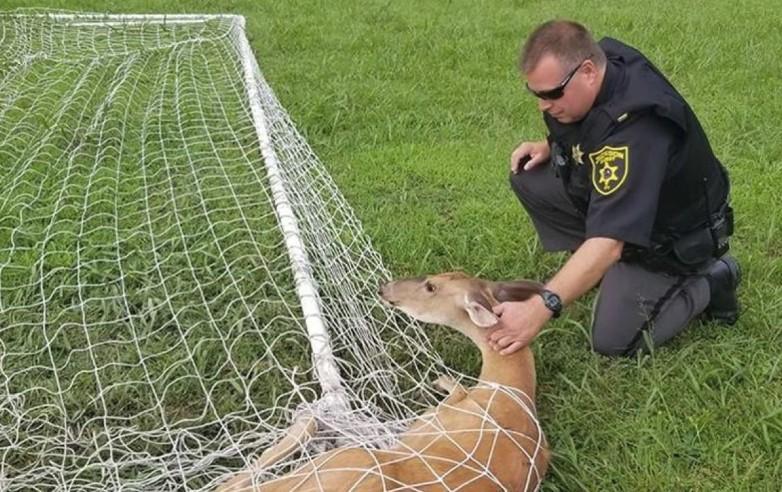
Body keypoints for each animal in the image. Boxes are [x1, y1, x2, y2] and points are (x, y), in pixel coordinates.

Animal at [217, 270, 552, 490]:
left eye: (431, 286)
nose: (384, 286)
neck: (511, 384)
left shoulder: (427, 421)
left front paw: (440, 381)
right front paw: (440, 380)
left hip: (349, 459)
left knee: (232, 485)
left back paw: (309, 419)